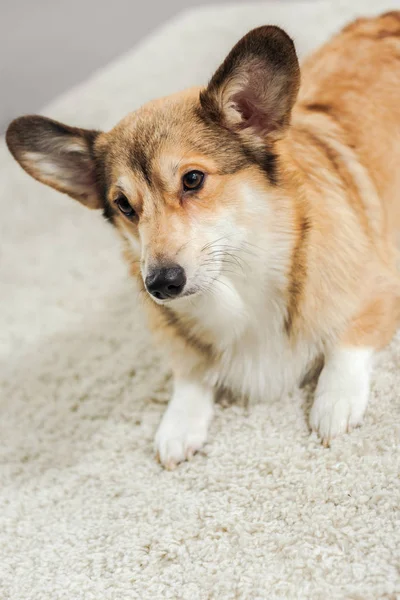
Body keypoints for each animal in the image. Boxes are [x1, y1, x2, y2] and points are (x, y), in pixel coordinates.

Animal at [5, 10, 400, 468]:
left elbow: (348, 343)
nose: (160, 285)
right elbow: (189, 376)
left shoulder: (381, 290)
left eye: (192, 179)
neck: (238, 287)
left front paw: (334, 403)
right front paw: (178, 426)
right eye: (123, 205)